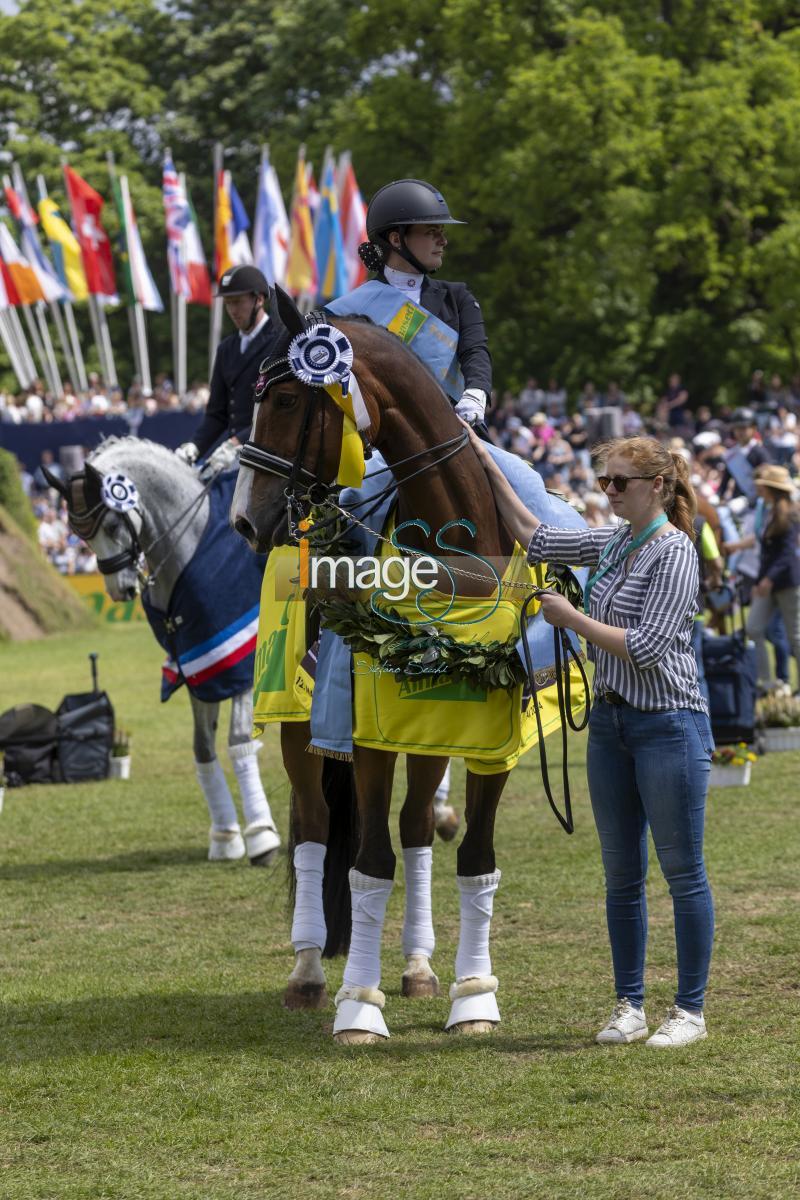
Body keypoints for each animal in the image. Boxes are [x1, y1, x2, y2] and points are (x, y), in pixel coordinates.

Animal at [231, 295, 582, 1046]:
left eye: (284, 399)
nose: (246, 519)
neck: (457, 557)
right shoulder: (368, 742)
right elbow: (368, 866)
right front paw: (358, 1009)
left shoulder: (489, 745)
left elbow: (473, 860)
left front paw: (473, 998)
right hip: (300, 728)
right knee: (313, 829)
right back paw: (308, 972)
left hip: (432, 737)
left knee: (419, 828)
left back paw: (420, 967)